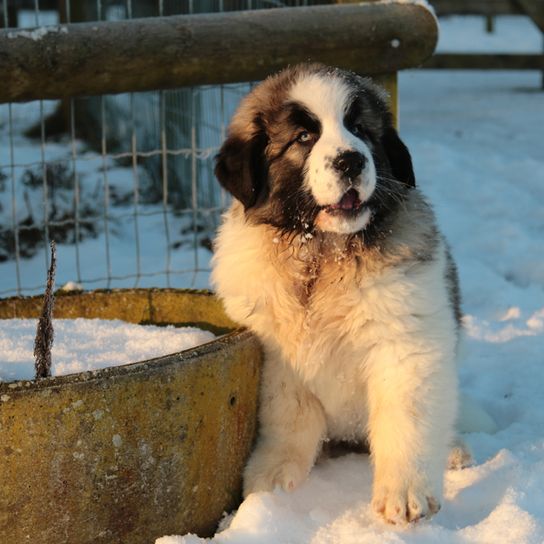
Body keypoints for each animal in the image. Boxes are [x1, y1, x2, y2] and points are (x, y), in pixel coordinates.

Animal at [212, 62, 464, 524]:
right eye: (303, 137)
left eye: (360, 129)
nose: (350, 159)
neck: (324, 253)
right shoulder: (278, 355)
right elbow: (289, 415)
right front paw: (273, 477)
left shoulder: (406, 345)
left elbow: (407, 419)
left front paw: (405, 492)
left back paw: (454, 448)